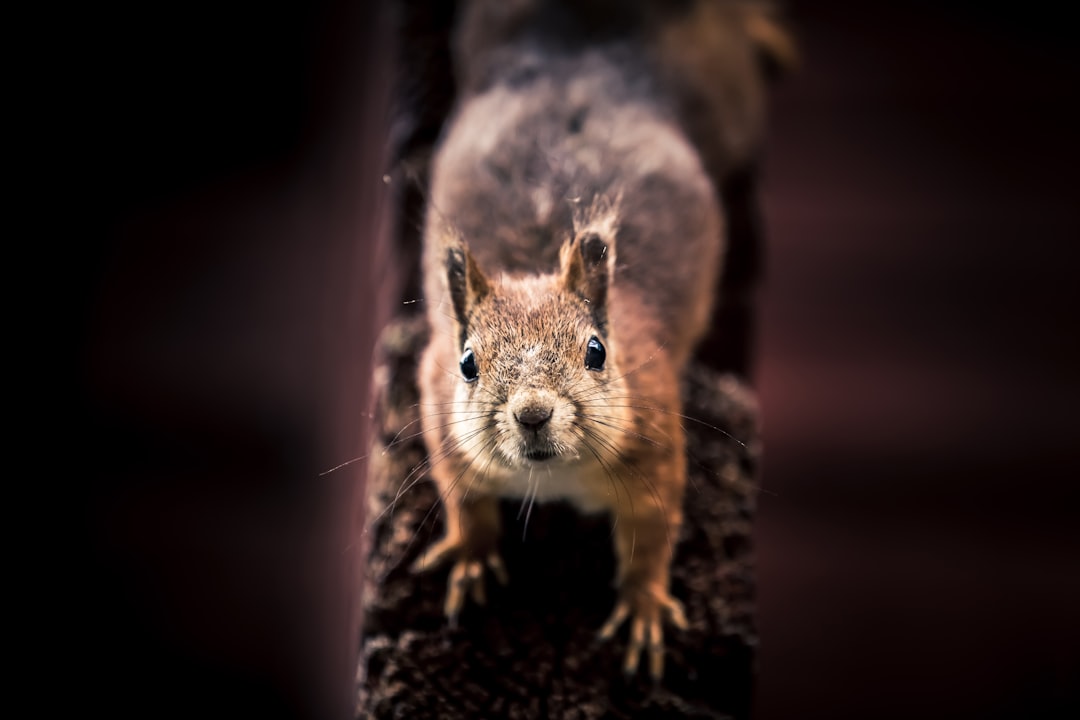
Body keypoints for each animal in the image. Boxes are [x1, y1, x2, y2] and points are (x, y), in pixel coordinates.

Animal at [408, 0, 790, 682]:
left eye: (596, 352)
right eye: (467, 362)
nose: (533, 413)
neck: (552, 477)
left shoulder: (653, 437)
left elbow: (652, 533)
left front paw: (644, 607)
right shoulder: (433, 398)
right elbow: (462, 494)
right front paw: (471, 553)